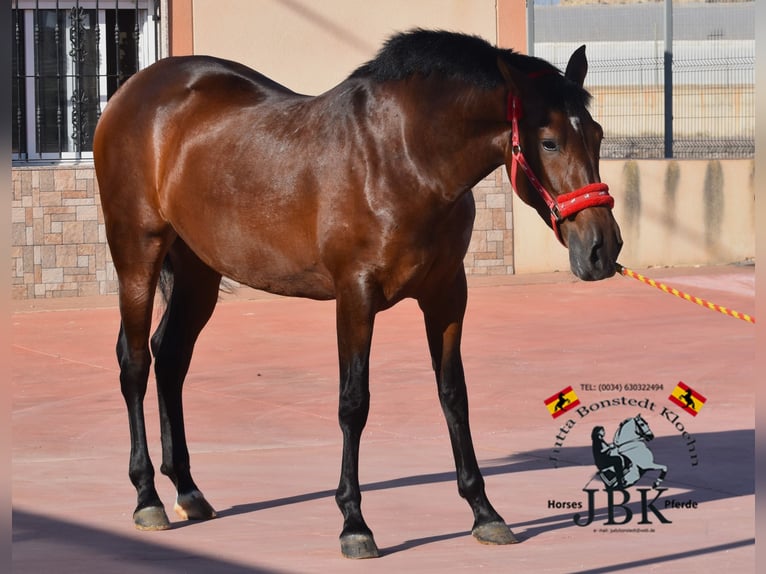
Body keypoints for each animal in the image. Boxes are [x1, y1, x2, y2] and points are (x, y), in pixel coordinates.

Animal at [94, 29, 624, 560]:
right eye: (549, 141)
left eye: (597, 135)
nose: (603, 248)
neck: (404, 159)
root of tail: (133, 90)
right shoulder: (355, 295)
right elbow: (354, 403)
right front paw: (354, 523)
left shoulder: (447, 295)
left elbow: (454, 396)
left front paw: (485, 512)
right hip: (137, 252)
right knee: (135, 363)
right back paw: (147, 497)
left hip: (199, 270)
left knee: (170, 357)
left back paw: (187, 489)